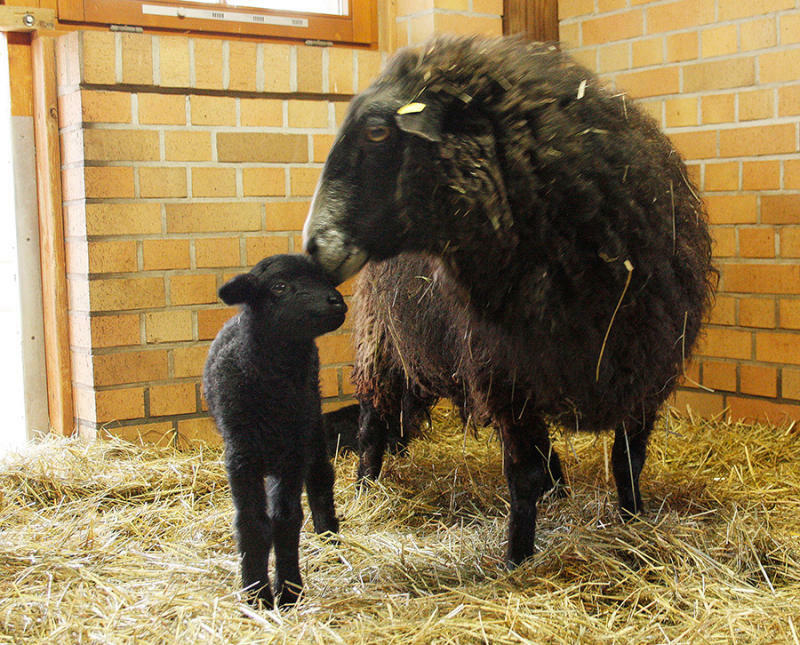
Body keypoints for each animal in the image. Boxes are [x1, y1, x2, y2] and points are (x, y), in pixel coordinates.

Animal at [202, 254, 346, 608]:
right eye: (279, 287)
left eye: (324, 278)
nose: (335, 301)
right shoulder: (241, 458)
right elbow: (252, 523)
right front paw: (256, 595)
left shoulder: (293, 455)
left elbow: (287, 518)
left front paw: (290, 591)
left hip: (311, 422)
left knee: (320, 477)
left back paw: (329, 538)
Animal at [304, 35, 716, 568]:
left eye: (376, 132)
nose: (312, 247)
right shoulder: (506, 378)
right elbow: (522, 478)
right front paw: (517, 559)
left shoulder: (646, 372)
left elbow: (627, 461)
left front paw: (632, 523)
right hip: (385, 345)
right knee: (373, 420)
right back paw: (365, 489)